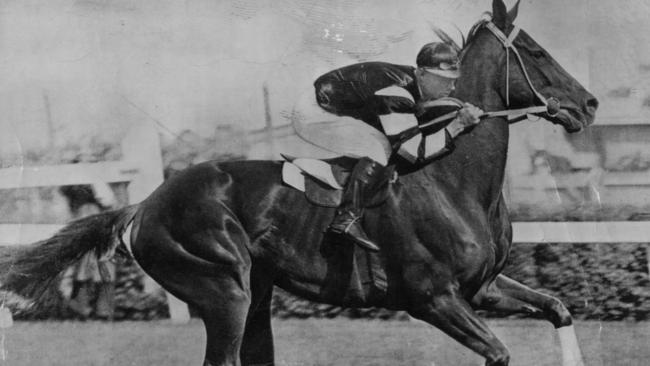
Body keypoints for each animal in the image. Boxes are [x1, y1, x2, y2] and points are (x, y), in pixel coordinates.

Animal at [0, 1, 596, 364]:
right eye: (536, 52)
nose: (588, 104)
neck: (455, 183)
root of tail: (142, 205)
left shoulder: (483, 288)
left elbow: (558, 308)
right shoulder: (432, 298)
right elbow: (499, 351)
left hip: (256, 293)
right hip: (222, 290)